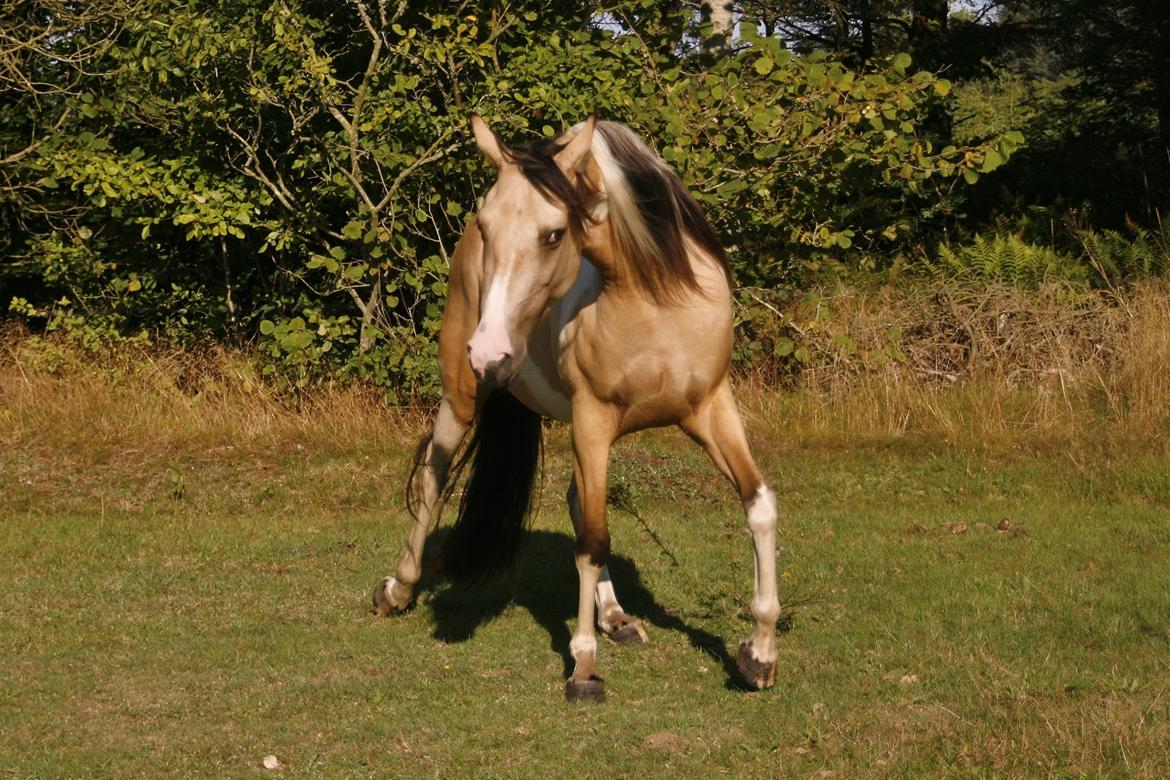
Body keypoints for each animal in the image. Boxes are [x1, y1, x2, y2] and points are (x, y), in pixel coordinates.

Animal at [369, 114, 781, 701]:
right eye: (487, 226)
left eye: (555, 233)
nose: (490, 353)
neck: (654, 301)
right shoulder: (591, 418)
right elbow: (592, 541)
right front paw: (584, 668)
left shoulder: (711, 408)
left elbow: (758, 505)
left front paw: (759, 654)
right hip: (463, 397)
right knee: (434, 477)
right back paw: (397, 589)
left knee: (576, 498)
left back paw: (616, 617)